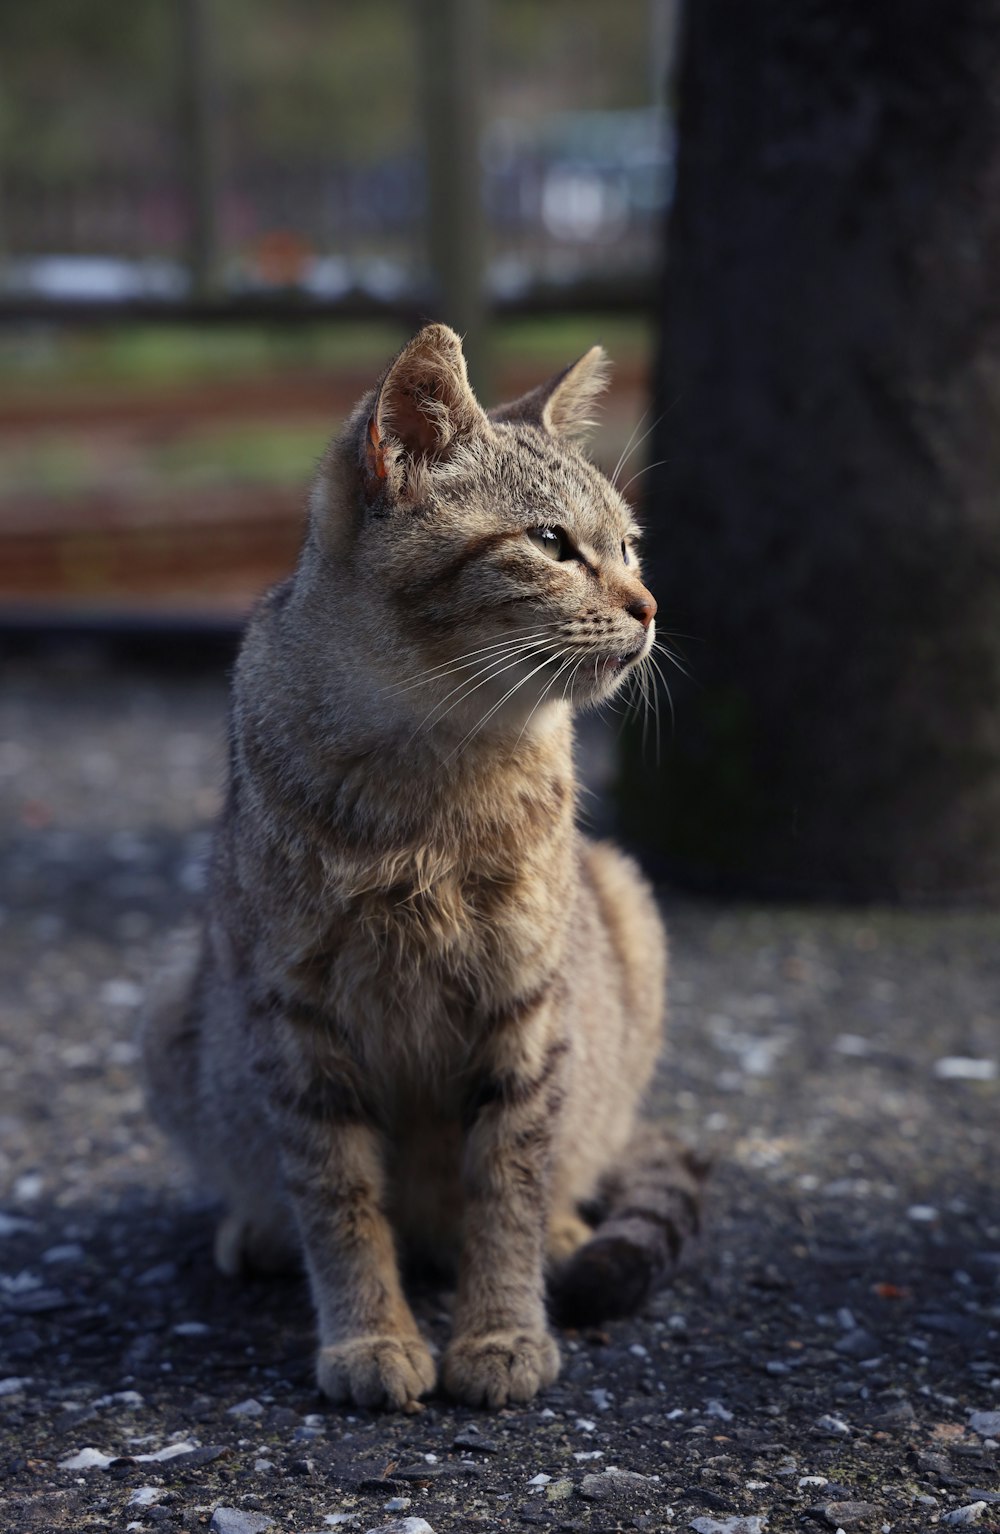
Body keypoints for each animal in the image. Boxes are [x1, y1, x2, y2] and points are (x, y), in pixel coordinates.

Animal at [144, 329, 699, 1405]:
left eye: (629, 545)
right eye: (552, 543)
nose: (651, 604)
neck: (433, 766)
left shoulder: (526, 1006)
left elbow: (507, 1187)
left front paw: (502, 1331)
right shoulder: (297, 1020)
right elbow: (340, 1199)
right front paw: (368, 1336)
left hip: (625, 912)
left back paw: (563, 1229)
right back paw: (259, 1228)